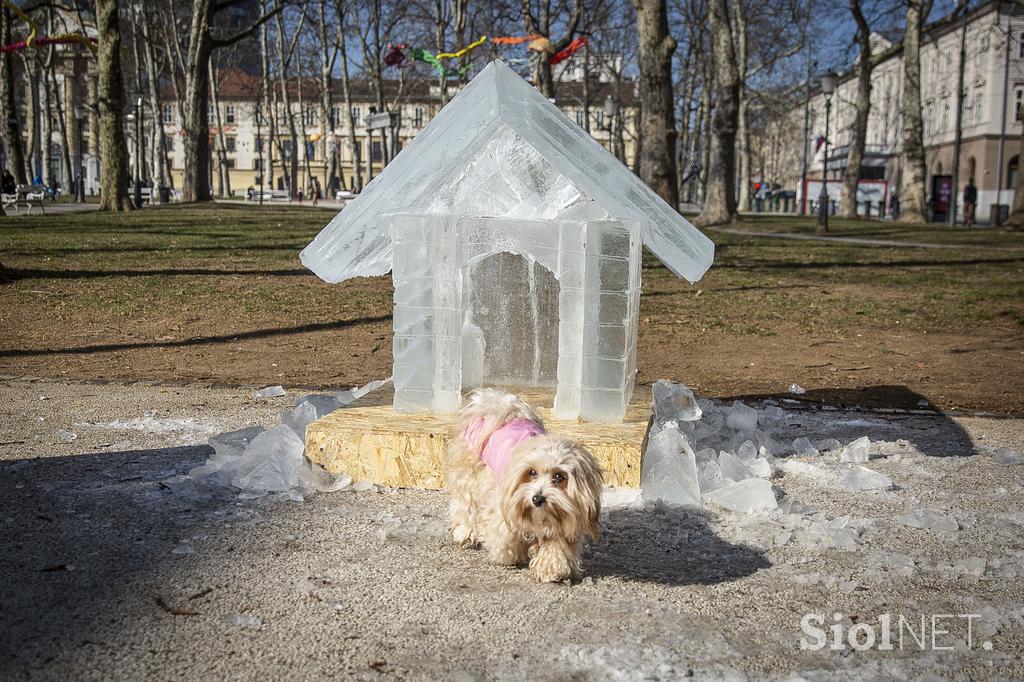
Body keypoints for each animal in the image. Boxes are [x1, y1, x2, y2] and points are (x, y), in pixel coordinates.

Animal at [446, 387, 602, 577]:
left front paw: (552, 568)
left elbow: (556, 546)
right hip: (469, 477)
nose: (538, 498)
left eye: (559, 476)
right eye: (532, 472)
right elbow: (505, 537)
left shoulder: (565, 518)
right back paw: (465, 532)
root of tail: (494, 404)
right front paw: (509, 556)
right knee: (465, 506)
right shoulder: (503, 507)